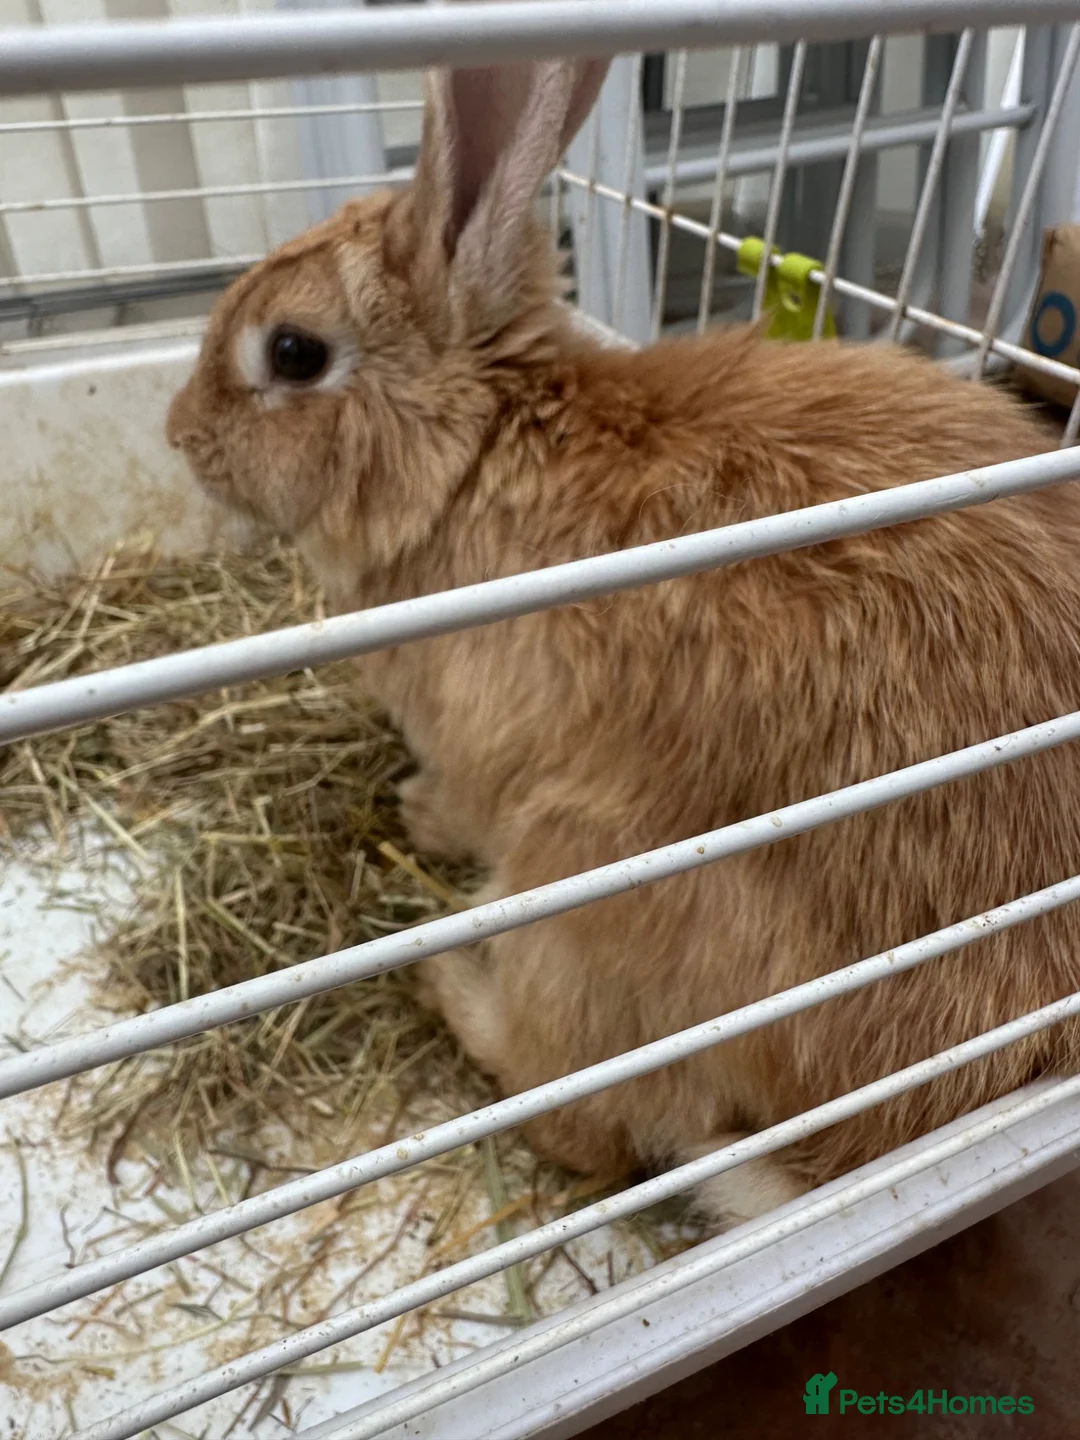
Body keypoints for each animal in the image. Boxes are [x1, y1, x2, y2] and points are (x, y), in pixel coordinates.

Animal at [167, 53, 1080, 1232]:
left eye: (292, 352)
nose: (182, 435)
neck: (477, 450)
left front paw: (418, 817)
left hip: (583, 879)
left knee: (581, 1120)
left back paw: (446, 981)